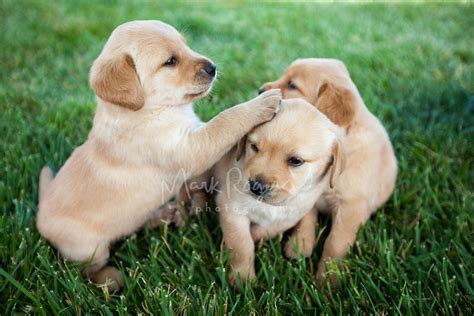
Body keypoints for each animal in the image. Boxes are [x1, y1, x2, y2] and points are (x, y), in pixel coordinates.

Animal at [38, 20, 282, 292]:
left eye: (185, 45)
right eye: (170, 62)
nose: (213, 67)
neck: (147, 110)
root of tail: (40, 210)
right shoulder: (192, 147)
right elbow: (226, 120)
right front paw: (260, 104)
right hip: (87, 247)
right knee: (86, 270)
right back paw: (110, 278)